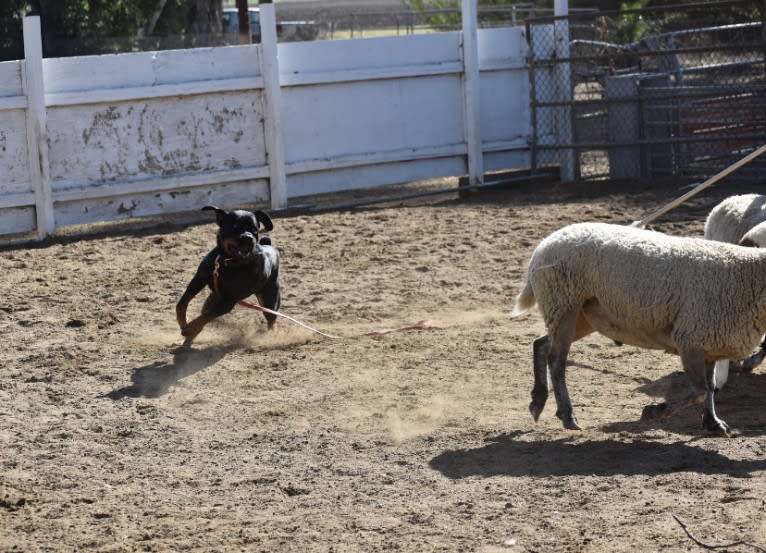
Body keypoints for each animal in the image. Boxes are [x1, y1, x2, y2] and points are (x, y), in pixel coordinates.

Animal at [512, 221, 766, 436]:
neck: (747, 276)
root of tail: (545, 243)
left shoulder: (710, 341)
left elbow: (710, 387)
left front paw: (713, 423)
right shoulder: (690, 339)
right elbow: (701, 390)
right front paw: (653, 412)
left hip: (584, 315)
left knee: (541, 344)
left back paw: (537, 401)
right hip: (564, 303)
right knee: (557, 360)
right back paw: (567, 415)